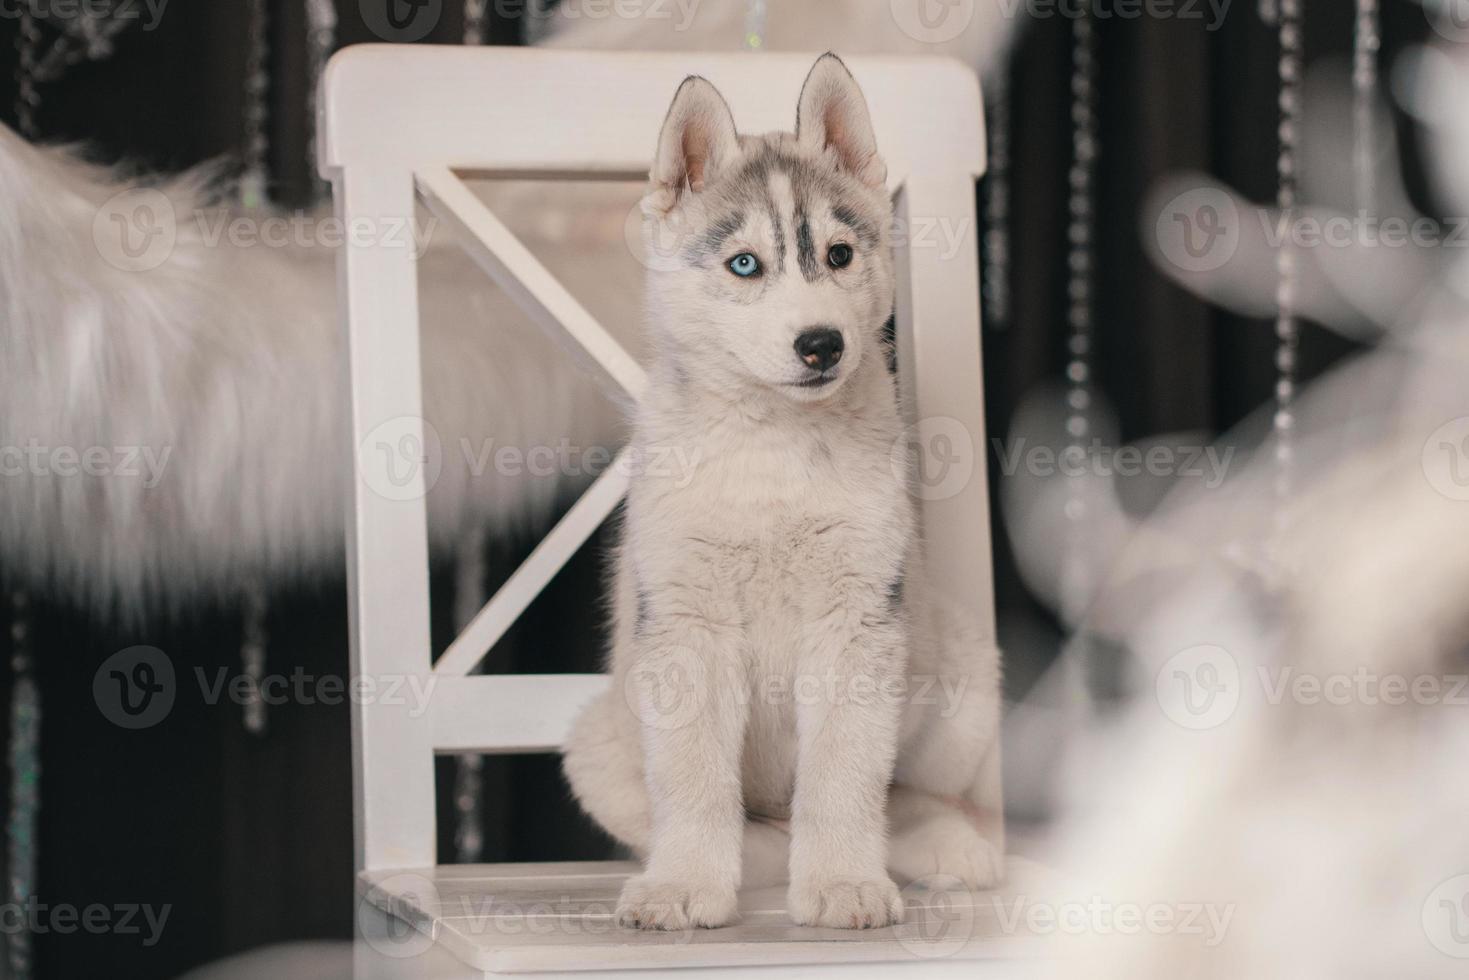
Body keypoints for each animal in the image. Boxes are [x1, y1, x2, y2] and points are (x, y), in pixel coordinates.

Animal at [558, 55, 998, 934]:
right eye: (743, 265)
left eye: (838, 254)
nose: (820, 343)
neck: (774, 446)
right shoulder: (684, 628)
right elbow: (694, 781)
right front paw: (683, 884)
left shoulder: (860, 621)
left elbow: (845, 775)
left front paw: (842, 883)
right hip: (598, 742)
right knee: (747, 823)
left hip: (961, 681)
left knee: (906, 795)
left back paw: (945, 850)